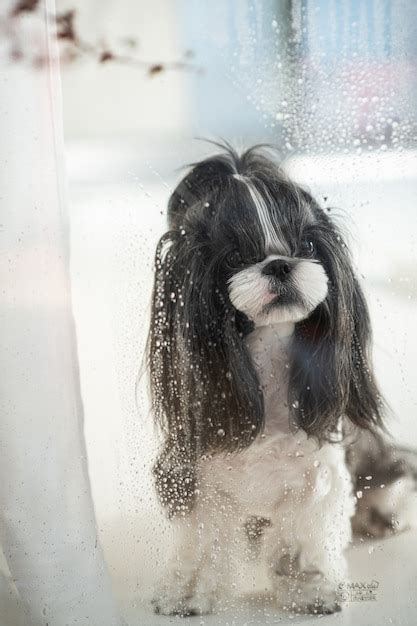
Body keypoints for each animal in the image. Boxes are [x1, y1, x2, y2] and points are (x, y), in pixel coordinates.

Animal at [147, 145, 416, 616]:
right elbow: (204, 539)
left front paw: (311, 587)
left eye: (306, 245)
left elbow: (302, 536)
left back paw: (383, 512)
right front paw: (188, 591)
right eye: (235, 256)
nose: (279, 265)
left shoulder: (317, 475)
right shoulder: (198, 477)